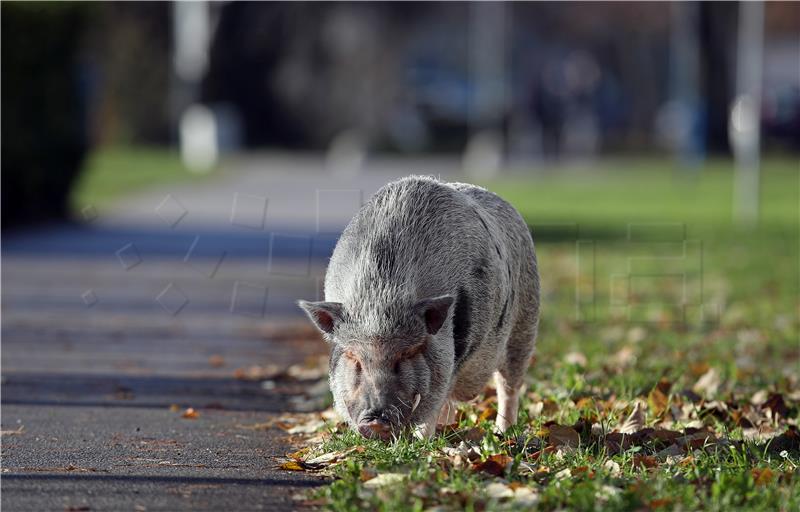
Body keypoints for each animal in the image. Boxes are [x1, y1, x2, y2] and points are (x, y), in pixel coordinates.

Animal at [296, 176, 540, 440]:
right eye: (353, 356)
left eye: (407, 353)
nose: (375, 420)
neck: (380, 297)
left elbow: (436, 399)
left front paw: (422, 441)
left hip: (525, 323)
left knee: (509, 385)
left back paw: (502, 432)